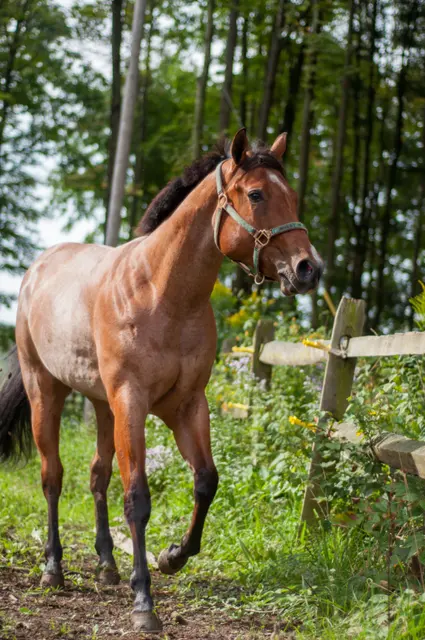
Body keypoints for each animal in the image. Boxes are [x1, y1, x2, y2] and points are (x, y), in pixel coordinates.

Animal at [0, 129, 323, 633]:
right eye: (256, 194)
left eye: (291, 195)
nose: (309, 268)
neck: (160, 293)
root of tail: (38, 270)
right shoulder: (132, 402)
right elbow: (137, 498)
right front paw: (144, 603)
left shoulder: (187, 405)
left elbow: (206, 481)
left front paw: (173, 556)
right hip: (45, 392)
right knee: (53, 477)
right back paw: (54, 568)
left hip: (102, 405)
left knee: (97, 475)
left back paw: (107, 566)